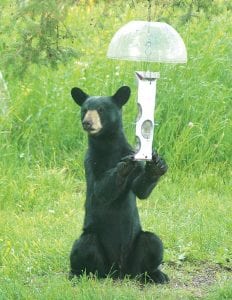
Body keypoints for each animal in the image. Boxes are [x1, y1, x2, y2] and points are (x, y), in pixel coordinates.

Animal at [69, 85, 169, 284]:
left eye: (101, 110)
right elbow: (100, 190)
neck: (107, 145)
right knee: (84, 246)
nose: (87, 123)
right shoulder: (90, 160)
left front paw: (156, 166)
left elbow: (140, 190)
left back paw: (156, 274)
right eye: (84, 110)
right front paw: (123, 166)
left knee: (153, 242)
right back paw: (77, 273)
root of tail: (119, 271)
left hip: (136, 252)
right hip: (95, 247)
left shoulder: (126, 151)